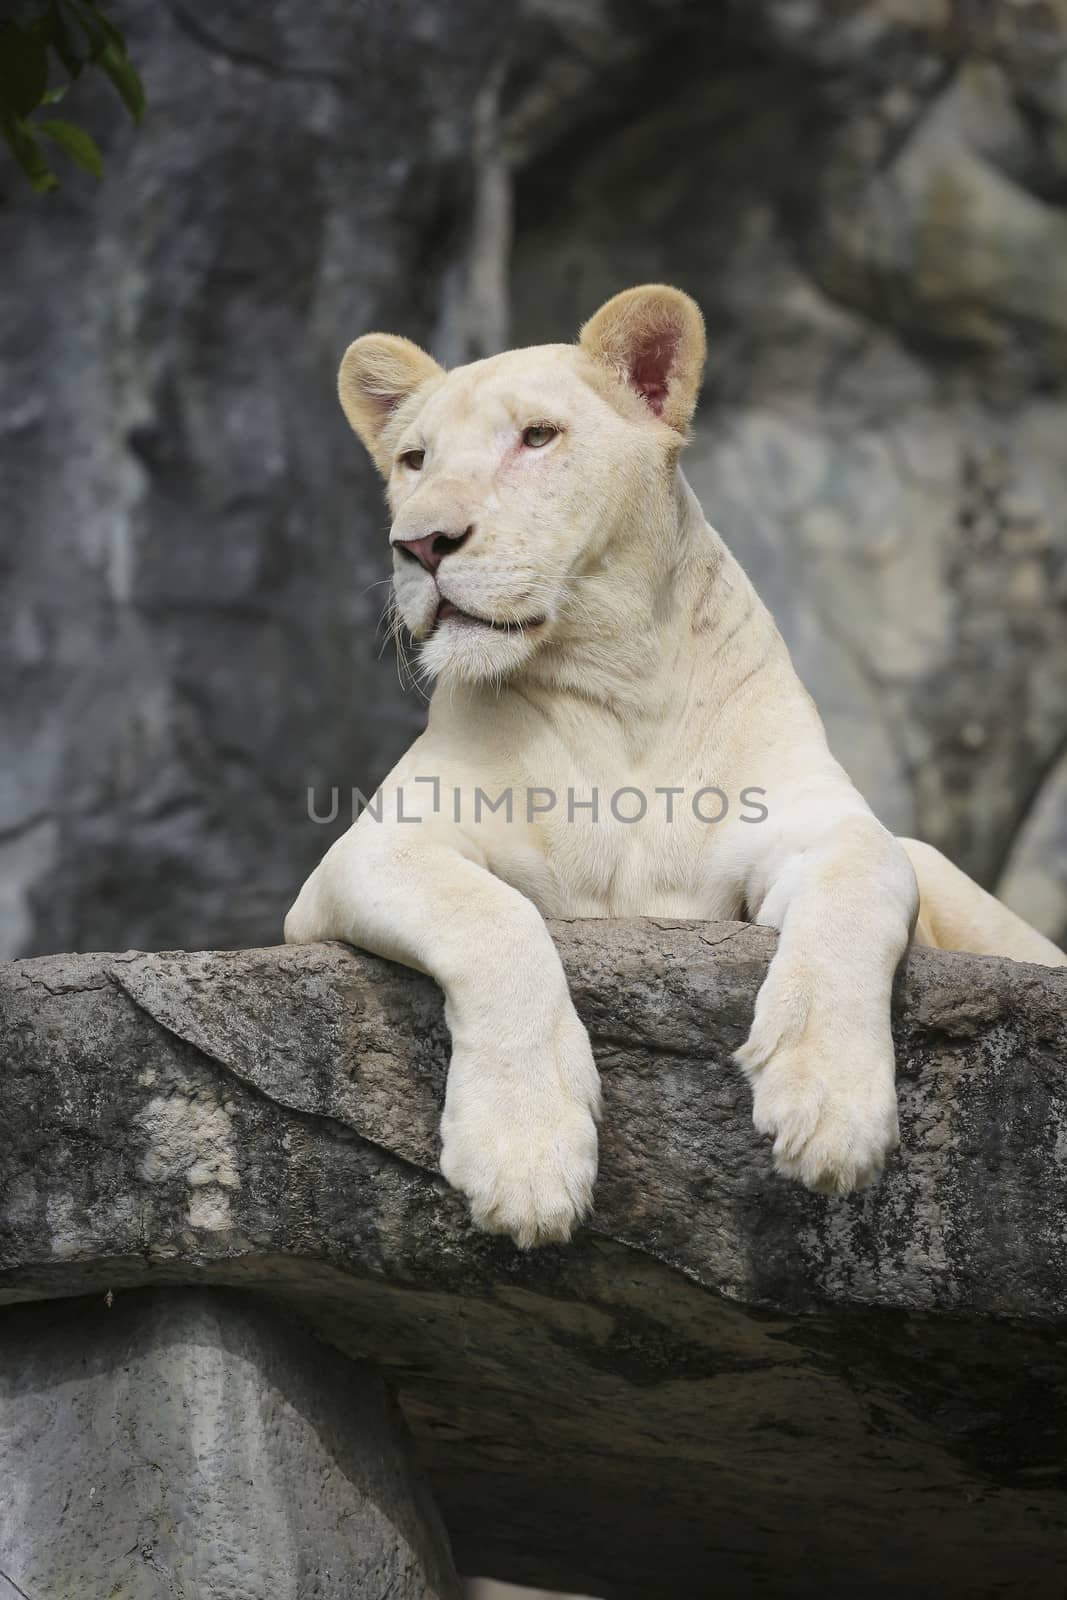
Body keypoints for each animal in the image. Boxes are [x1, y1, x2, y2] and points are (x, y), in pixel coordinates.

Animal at [286, 284, 1067, 1248]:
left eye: (536, 437)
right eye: (413, 458)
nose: (422, 543)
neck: (615, 687)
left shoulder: (819, 824)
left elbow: (857, 887)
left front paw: (828, 1107)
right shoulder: (366, 852)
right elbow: (492, 919)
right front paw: (524, 1157)